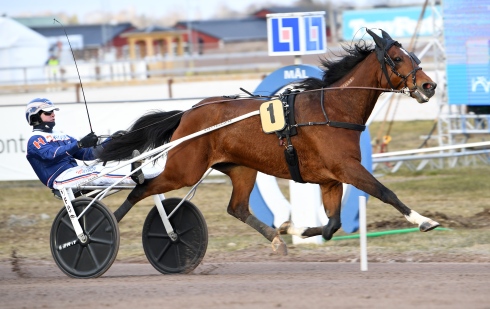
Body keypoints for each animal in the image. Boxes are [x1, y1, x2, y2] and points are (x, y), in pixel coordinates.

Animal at [98, 29, 440, 255]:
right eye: (397, 58)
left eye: (414, 56)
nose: (430, 85)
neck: (332, 110)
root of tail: (188, 112)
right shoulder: (347, 168)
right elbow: (385, 192)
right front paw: (424, 220)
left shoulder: (330, 180)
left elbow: (332, 225)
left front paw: (292, 229)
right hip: (184, 170)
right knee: (140, 189)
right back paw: (101, 227)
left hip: (241, 168)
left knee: (236, 208)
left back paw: (275, 238)